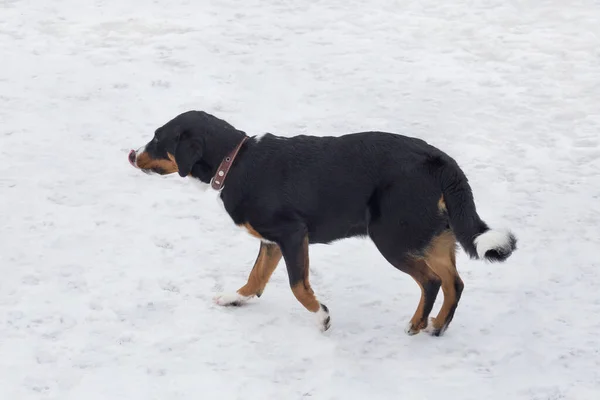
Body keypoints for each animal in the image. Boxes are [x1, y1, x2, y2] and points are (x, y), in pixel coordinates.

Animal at [129, 108, 516, 334]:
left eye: (157, 138)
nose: (132, 154)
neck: (234, 162)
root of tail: (440, 160)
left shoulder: (291, 234)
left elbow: (298, 286)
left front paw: (322, 316)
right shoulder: (271, 241)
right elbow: (256, 278)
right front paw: (234, 298)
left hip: (392, 236)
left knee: (432, 281)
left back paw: (418, 325)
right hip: (428, 234)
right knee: (454, 282)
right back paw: (437, 325)